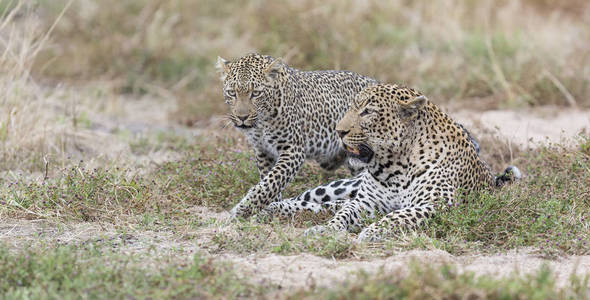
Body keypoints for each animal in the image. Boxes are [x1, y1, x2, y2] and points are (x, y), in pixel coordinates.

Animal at [264, 83, 524, 243]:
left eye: (368, 112)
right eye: (351, 108)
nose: (339, 131)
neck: (394, 166)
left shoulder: (437, 205)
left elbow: (397, 216)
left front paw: (370, 232)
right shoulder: (366, 202)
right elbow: (344, 214)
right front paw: (326, 230)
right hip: (345, 186)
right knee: (316, 199)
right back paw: (273, 207)